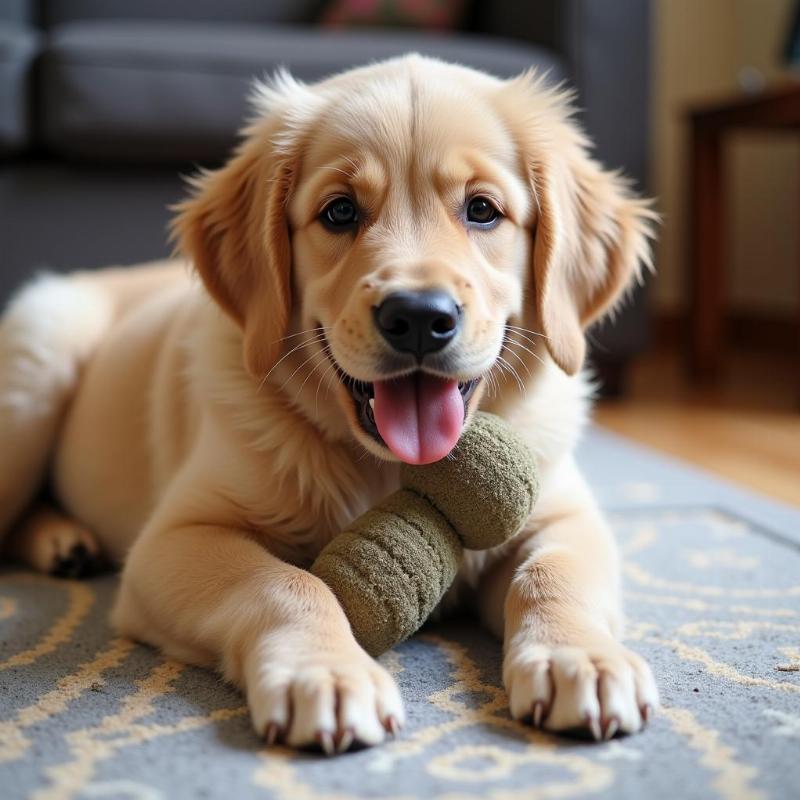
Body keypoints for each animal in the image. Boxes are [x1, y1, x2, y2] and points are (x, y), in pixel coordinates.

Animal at [0, 56, 656, 752]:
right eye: (340, 212)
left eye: (482, 210)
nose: (418, 318)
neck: (388, 468)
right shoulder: (175, 539)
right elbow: (284, 583)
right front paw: (328, 675)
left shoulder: (564, 513)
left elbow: (554, 575)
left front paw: (581, 658)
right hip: (35, 368)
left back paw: (65, 541)